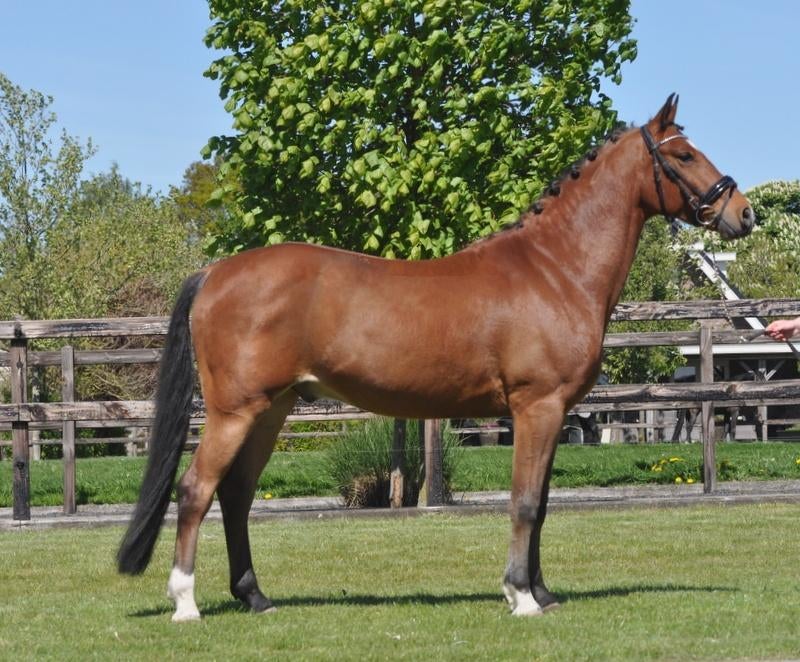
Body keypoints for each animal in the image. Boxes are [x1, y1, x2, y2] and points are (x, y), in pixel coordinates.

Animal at [117, 95, 754, 621]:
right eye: (685, 154)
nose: (744, 213)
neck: (555, 269)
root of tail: (214, 273)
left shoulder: (550, 414)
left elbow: (543, 504)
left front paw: (542, 591)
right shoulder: (538, 407)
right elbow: (525, 503)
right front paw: (521, 596)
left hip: (270, 410)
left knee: (236, 495)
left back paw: (255, 597)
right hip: (235, 411)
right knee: (196, 490)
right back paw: (186, 604)